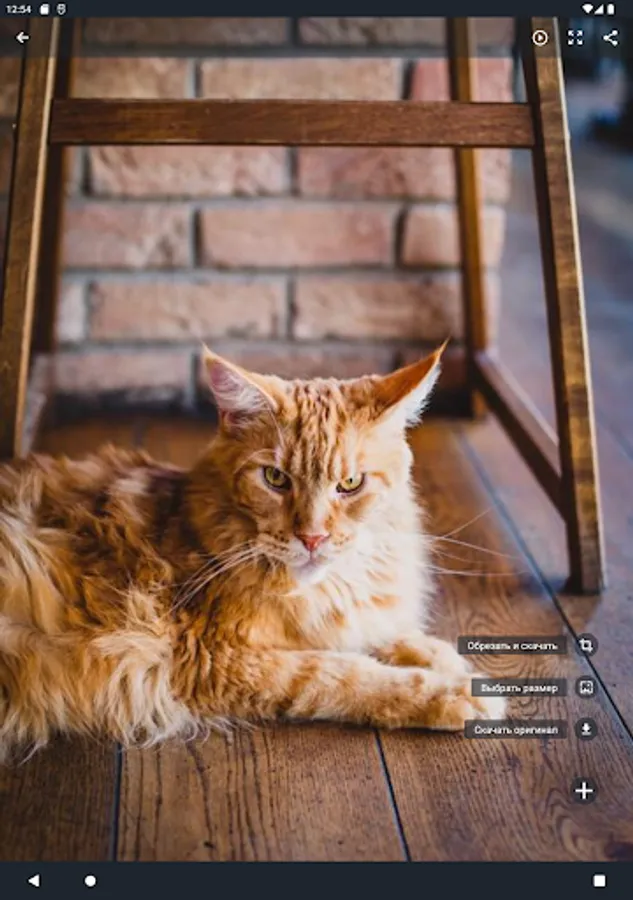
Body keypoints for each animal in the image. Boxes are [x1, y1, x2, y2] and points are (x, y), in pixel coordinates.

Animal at [0, 345, 504, 762]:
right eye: (276, 479)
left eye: (350, 484)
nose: (312, 537)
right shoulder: (214, 657)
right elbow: (346, 673)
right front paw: (456, 694)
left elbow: (385, 635)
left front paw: (440, 656)